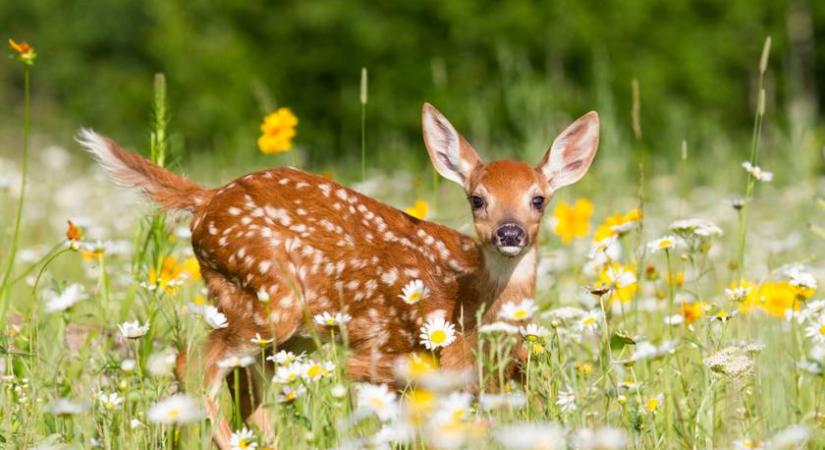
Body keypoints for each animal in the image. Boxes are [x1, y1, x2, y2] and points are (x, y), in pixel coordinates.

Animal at [77, 103, 596, 446]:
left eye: (538, 199)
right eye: (477, 199)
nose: (510, 232)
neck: (468, 304)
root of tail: (206, 200)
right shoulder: (394, 362)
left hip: (270, 322)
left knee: (243, 381)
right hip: (271, 297)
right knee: (194, 361)